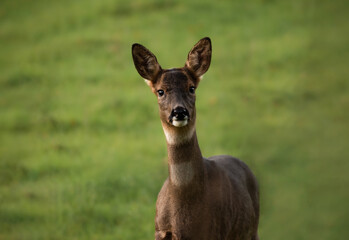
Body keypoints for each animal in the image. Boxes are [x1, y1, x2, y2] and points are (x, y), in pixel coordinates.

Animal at [130, 37, 258, 240]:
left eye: (191, 88)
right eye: (160, 91)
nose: (179, 111)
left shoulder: (215, 232)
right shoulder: (159, 231)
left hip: (251, 230)